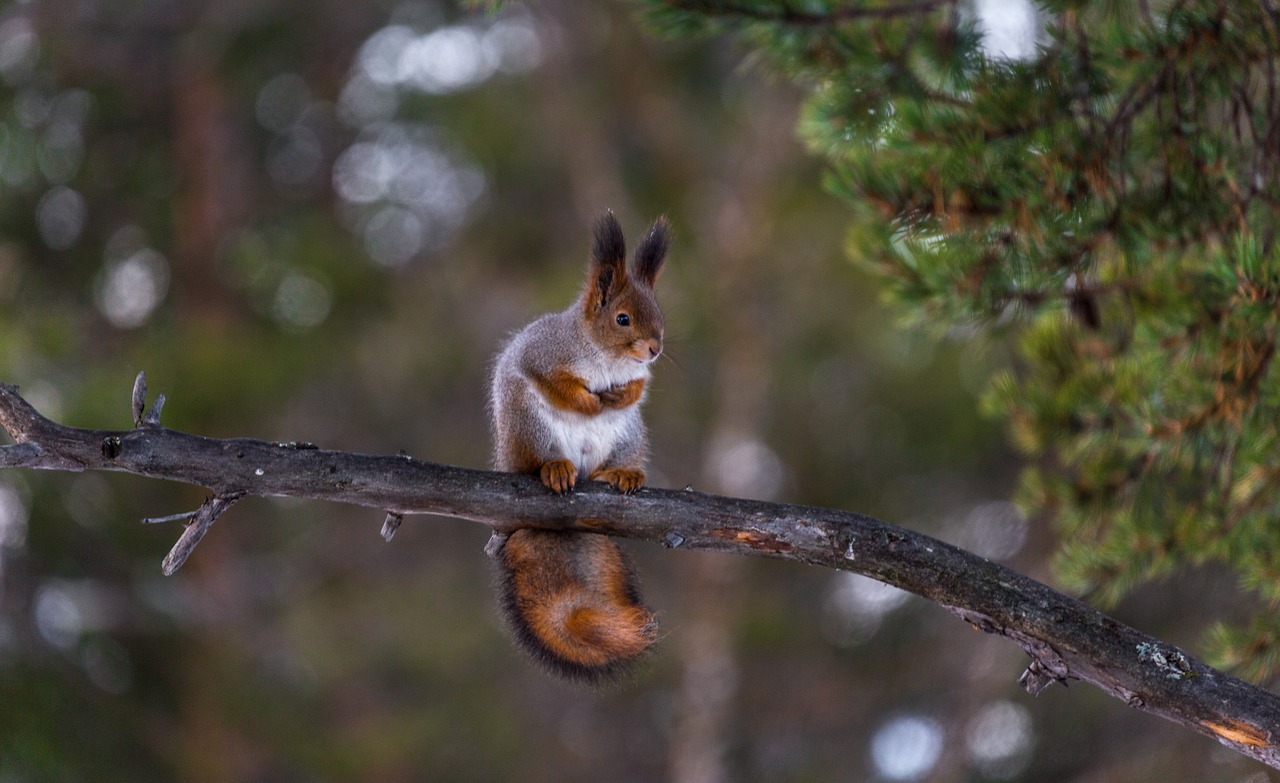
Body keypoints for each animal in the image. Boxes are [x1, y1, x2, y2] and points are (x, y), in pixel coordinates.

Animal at [486, 211, 670, 680]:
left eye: (659, 313)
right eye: (623, 319)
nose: (655, 349)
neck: (607, 358)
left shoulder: (640, 377)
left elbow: (639, 388)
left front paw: (620, 394)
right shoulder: (541, 356)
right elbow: (558, 384)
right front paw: (586, 400)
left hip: (629, 434)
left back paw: (620, 472)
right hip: (528, 424)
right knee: (537, 459)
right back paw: (553, 468)